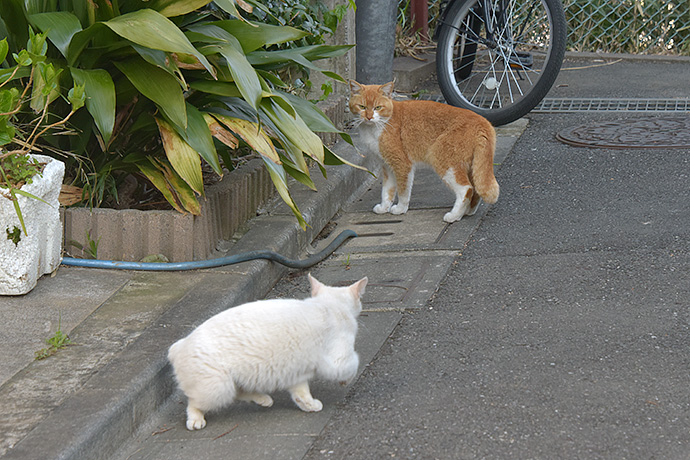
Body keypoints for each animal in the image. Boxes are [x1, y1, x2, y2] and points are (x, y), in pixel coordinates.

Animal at [166, 274, 366, 432]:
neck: (329, 304)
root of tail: (179, 345)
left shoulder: (296, 372)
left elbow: (301, 394)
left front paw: (309, 406)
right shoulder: (339, 358)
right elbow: (354, 363)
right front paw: (346, 381)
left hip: (231, 383)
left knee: (238, 393)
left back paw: (263, 399)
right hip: (217, 387)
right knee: (194, 403)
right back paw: (196, 419)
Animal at [350, 80, 494, 223]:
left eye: (378, 107)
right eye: (362, 106)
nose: (369, 117)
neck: (376, 127)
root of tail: (482, 121)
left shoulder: (402, 164)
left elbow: (403, 190)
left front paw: (400, 209)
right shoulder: (387, 165)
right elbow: (387, 190)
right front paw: (384, 207)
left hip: (443, 160)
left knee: (466, 189)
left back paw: (455, 215)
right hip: (471, 166)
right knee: (476, 189)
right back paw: (467, 212)